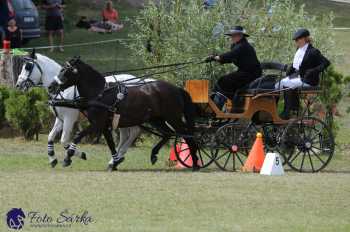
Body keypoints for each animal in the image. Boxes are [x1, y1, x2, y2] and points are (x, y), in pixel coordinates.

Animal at [48, 57, 200, 170]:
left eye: (65, 71)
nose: (51, 87)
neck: (100, 93)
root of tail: (176, 89)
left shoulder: (96, 124)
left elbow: (77, 136)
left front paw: (68, 157)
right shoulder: (105, 126)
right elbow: (111, 144)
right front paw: (114, 162)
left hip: (173, 118)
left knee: (187, 135)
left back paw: (195, 163)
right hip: (157, 119)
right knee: (168, 133)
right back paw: (154, 155)